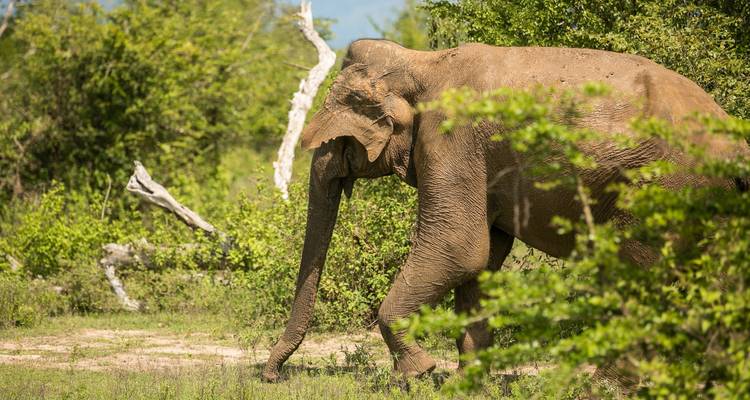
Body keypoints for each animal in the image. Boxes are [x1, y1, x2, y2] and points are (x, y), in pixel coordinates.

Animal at [261, 39, 749, 382]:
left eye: (338, 139)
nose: (270, 376)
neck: (422, 62)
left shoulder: (451, 139)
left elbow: (458, 248)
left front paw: (420, 373)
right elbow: (482, 260)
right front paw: (466, 384)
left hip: (659, 185)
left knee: (634, 271)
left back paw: (605, 386)